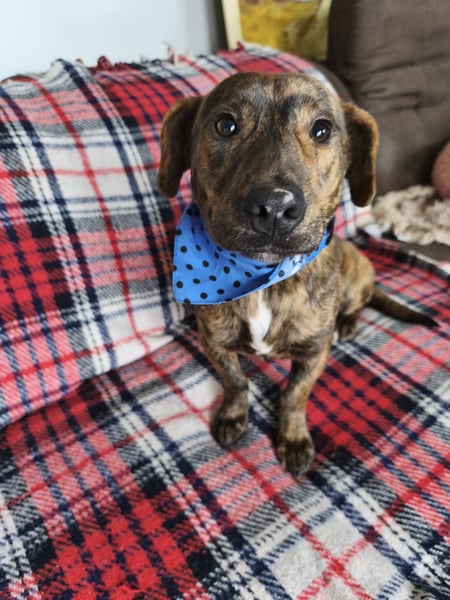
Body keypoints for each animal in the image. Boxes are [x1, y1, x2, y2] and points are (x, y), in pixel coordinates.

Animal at [157, 72, 435, 478]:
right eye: (225, 125)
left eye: (322, 130)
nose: (274, 206)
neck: (262, 277)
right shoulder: (214, 342)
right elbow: (236, 381)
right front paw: (233, 415)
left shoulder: (313, 355)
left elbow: (293, 396)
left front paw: (292, 438)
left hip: (356, 280)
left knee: (358, 303)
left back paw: (346, 323)